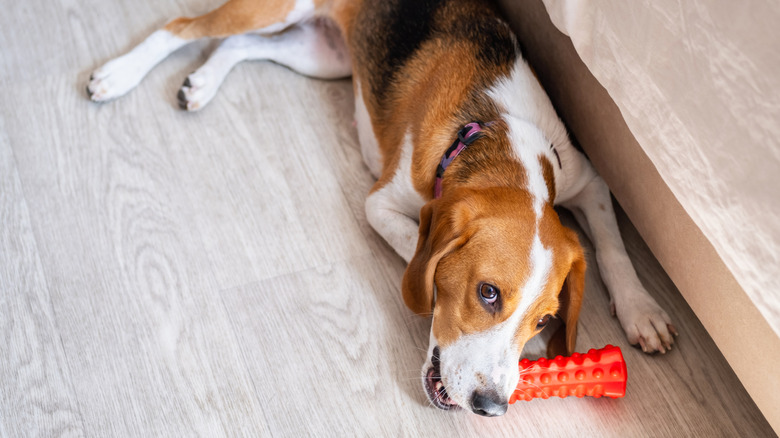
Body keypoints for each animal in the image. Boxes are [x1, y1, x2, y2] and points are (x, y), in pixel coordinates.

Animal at [88, 0, 676, 418]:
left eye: (547, 317)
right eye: (487, 293)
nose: (491, 407)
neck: (496, 140)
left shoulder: (589, 180)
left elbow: (613, 246)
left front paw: (641, 310)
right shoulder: (381, 204)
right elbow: (414, 252)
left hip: (322, 57)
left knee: (240, 44)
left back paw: (203, 82)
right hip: (276, 7)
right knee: (184, 26)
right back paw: (117, 75)